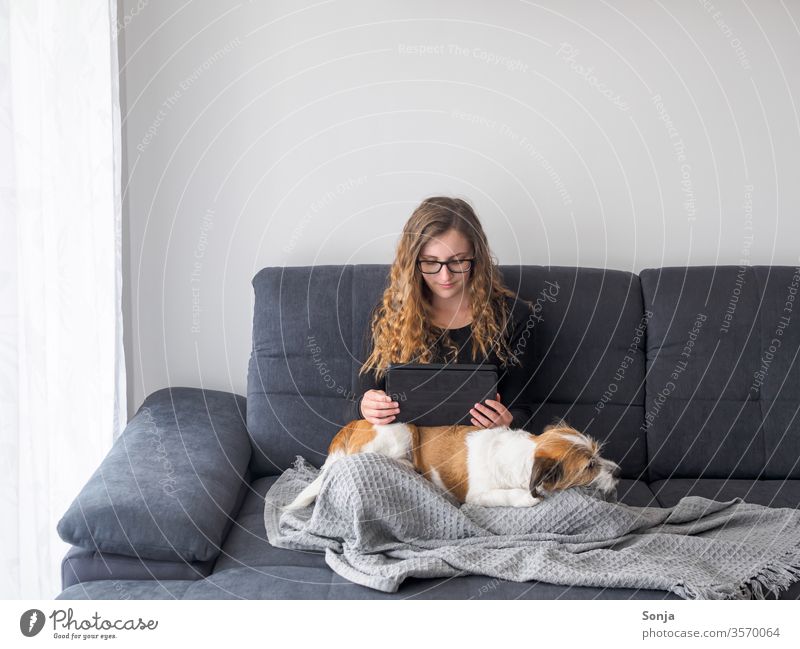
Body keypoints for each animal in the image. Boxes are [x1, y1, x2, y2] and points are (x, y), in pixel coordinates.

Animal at [284, 418, 620, 508]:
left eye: (597, 455)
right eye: (589, 466)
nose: (619, 472)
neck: (523, 455)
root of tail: (354, 424)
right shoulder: (478, 495)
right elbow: (512, 496)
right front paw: (527, 497)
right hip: (401, 430)